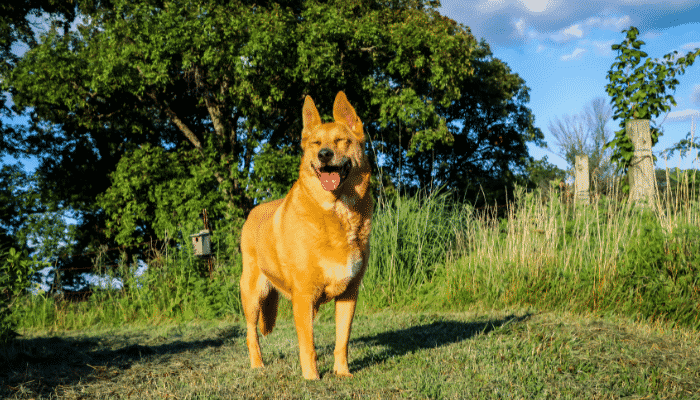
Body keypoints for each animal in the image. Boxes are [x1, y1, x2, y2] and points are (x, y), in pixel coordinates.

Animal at [239, 91, 372, 382]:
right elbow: (307, 344)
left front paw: (342, 373)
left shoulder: (349, 294)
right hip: (252, 296)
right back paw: (257, 365)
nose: (324, 155)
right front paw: (312, 378)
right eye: (316, 143)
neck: (335, 212)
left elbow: (342, 341)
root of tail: (253, 210)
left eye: (341, 140)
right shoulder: (303, 295)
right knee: (251, 334)